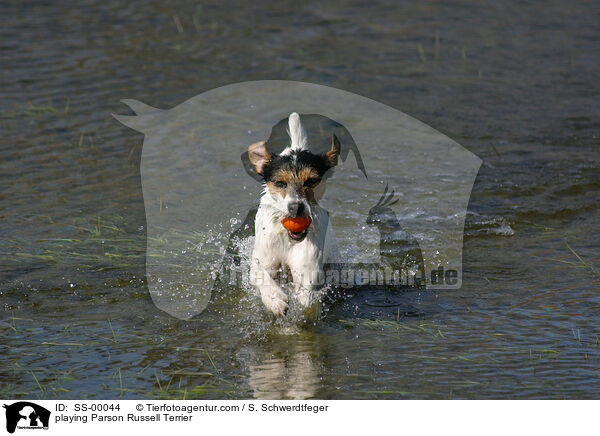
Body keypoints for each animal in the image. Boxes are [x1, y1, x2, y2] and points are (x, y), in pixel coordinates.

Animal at [247, 112, 340, 316]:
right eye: (280, 183)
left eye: (311, 181)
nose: (296, 207)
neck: (287, 239)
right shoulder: (262, 261)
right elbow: (260, 275)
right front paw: (274, 299)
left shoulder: (308, 268)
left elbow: (306, 295)